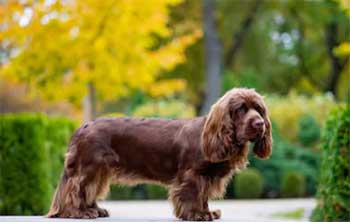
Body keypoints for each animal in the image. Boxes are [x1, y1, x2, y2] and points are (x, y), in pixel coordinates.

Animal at [46, 88, 272, 220]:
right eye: (241, 109)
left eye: (259, 109)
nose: (260, 124)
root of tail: (82, 127)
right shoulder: (192, 175)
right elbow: (193, 194)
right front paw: (196, 214)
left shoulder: (206, 177)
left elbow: (203, 196)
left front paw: (207, 212)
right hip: (89, 167)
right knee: (75, 189)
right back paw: (79, 212)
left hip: (99, 170)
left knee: (89, 190)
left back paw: (95, 210)